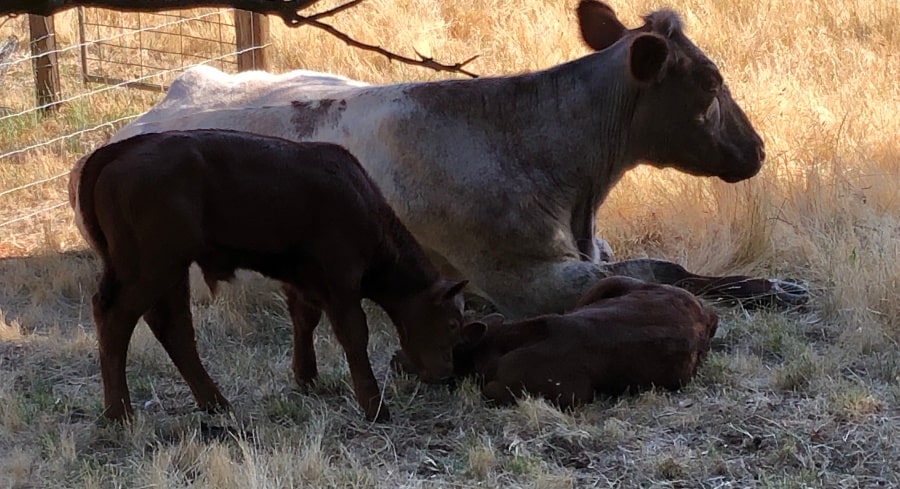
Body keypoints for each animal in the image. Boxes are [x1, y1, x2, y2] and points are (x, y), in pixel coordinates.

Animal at [67, 0, 804, 318]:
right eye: (708, 83)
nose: (760, 149)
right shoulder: (524, 278)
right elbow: (664, 277)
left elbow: (668, 265)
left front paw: (769, 284)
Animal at [74, 129, 468, 420]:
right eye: (451, 323)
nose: (446, 372)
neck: (361, 202)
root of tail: (117, 151)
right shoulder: (342, 279)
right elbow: (354, 334)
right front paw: (375, 407)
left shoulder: (303, 280)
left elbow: (305, 319)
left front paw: (307, 377)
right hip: (151, 268)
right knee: (117, 319)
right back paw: (120, 413)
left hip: (170, 271)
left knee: (173, 328)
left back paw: (215, 403)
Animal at [394, 274, 716, 408]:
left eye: (426, 338)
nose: (394, 357)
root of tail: (707, 314)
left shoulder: (573, 393)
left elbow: (488, 391)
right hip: (611, 282)